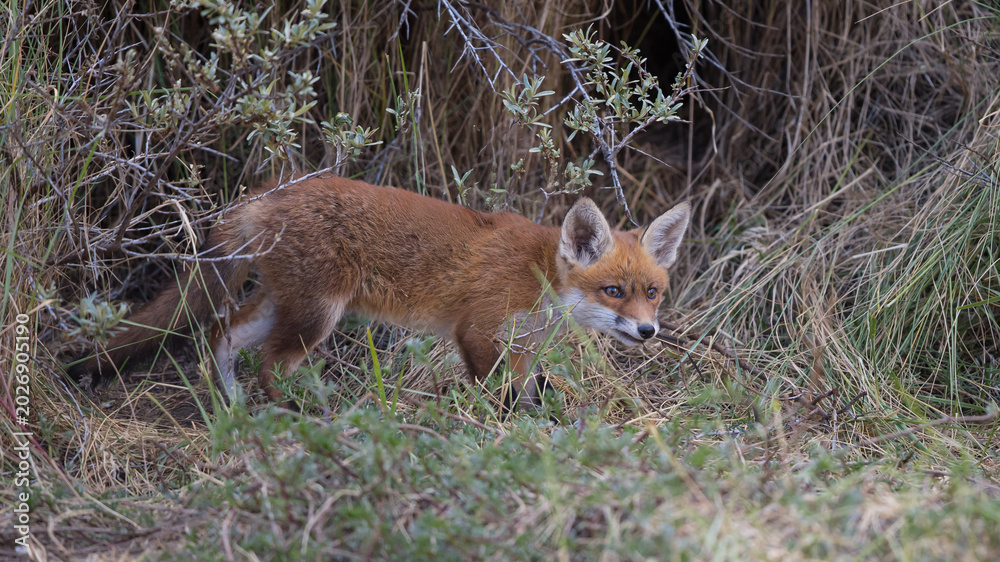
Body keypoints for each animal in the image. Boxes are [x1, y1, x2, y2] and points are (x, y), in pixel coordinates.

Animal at [69, 174, 690, 409]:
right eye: (613, 290)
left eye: (652, 292)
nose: (647, 331)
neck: (540, 280)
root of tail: (272, 194)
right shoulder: (477, 332)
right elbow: (499, 398)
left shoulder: (523, 348)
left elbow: (526, 394)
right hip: (316, 316)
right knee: (269, 363)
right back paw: (292, 416)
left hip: (281, 305)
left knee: (221, 335)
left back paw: (237, 407)